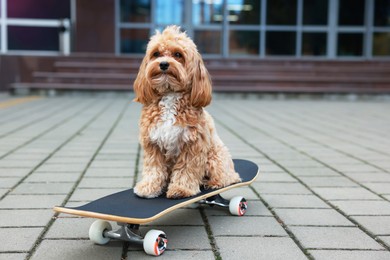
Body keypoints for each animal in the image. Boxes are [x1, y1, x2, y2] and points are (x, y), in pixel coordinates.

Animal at [133, 25, 239, 198]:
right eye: (156, 53)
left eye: (178, 54)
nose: (163, 64)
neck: (170, 93)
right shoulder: (152, 143)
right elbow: (154, 168)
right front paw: (149, 187)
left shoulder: (192, 145)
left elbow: (186, 169)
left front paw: (181, 189)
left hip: (215, 157)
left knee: (228, 178)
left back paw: (212, 183)